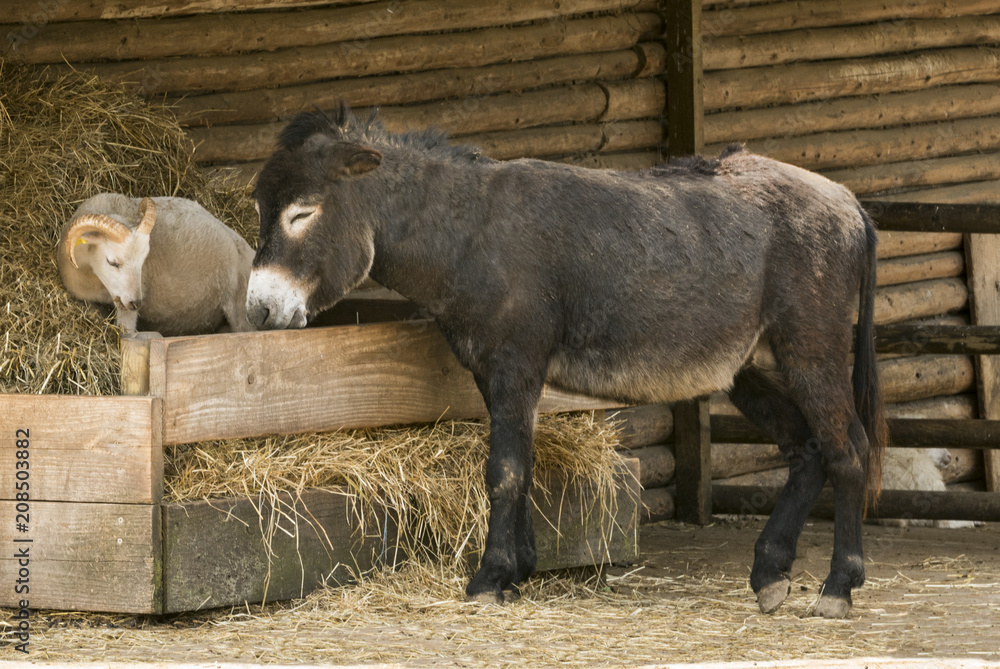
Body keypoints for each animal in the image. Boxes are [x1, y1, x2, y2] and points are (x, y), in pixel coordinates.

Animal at [58, 193, 255, 336]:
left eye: (143, 261)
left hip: (239, 305)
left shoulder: (126, 305)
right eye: (112, 262)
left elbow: (126, 332)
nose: (136, 303)